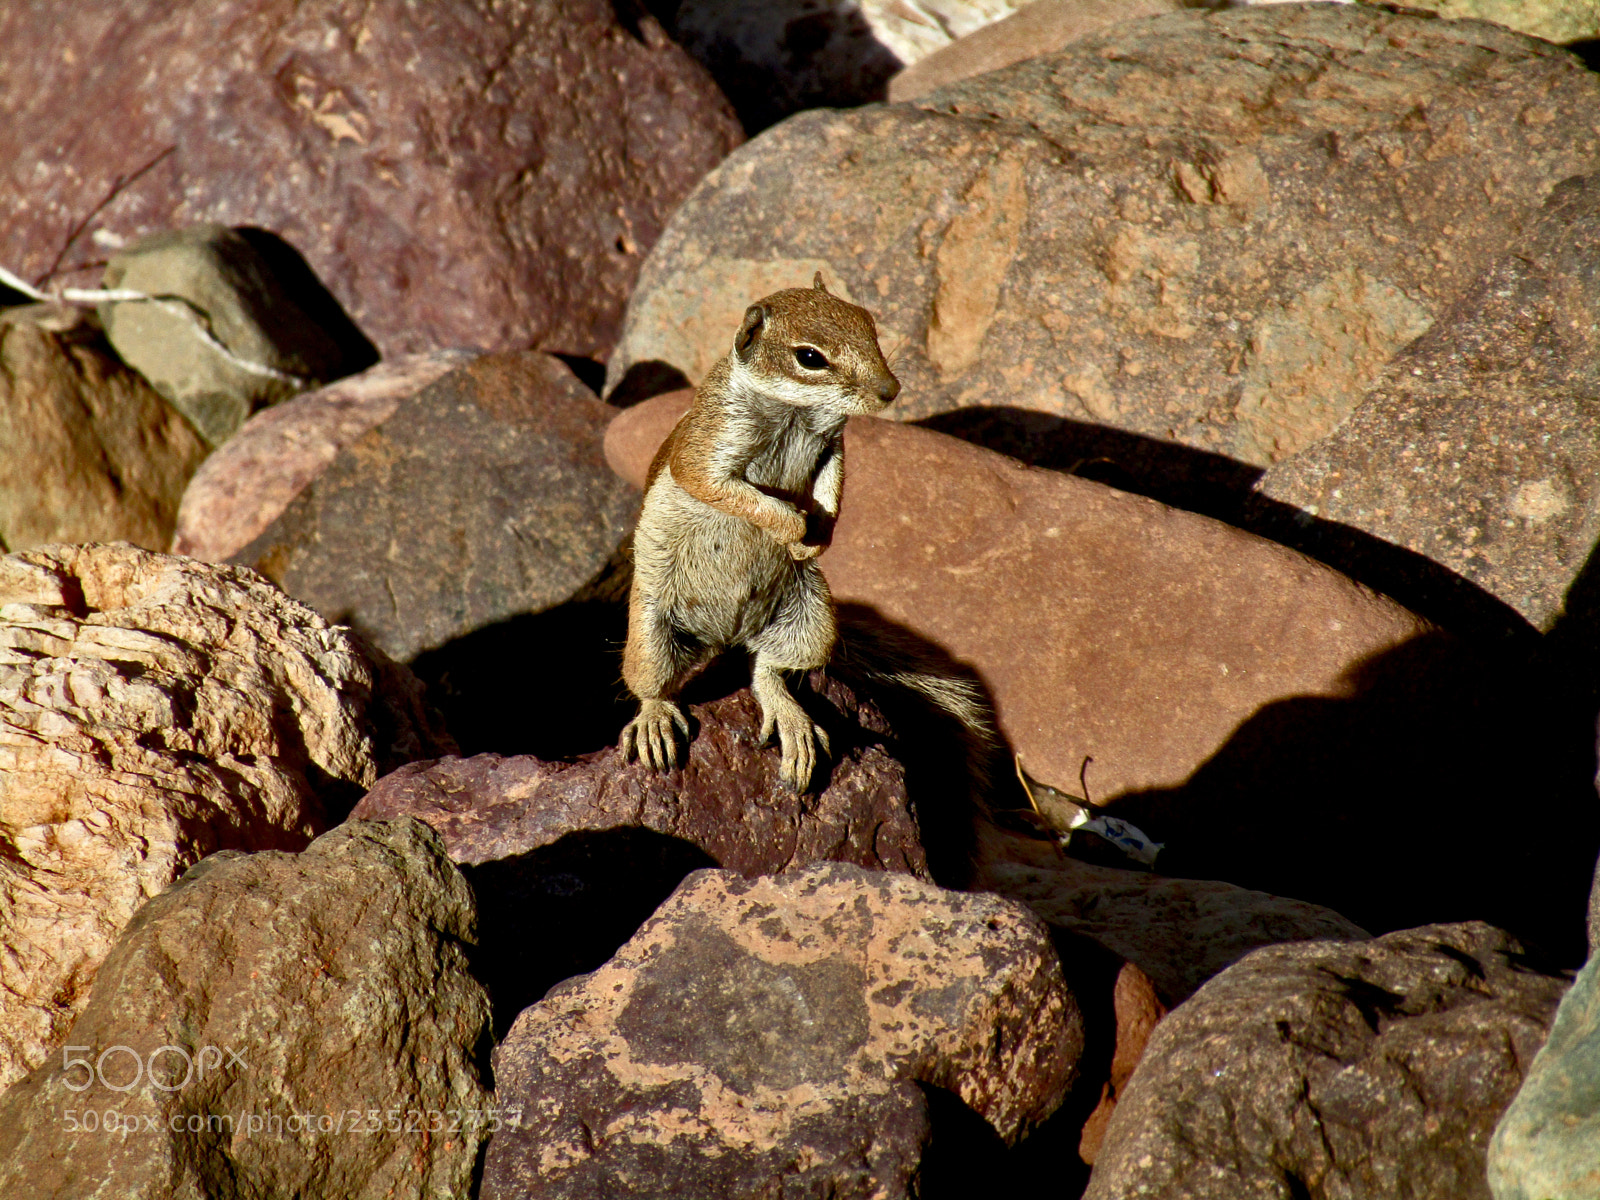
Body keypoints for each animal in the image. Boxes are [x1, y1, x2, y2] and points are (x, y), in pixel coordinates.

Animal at [619, 273, 911, 789]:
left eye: (868, 322)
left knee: (767, 669)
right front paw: (794, 528)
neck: (795, 412)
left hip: (816, 624)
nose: (889, 389)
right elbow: (721, 486)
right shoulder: (710, 444)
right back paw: (654, 723)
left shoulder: (833, 445)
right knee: (654, 686)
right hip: (651, 635)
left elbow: (832, 485)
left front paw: (820, 535)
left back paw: (792, 722)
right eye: (810, 357)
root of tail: (726, 636)